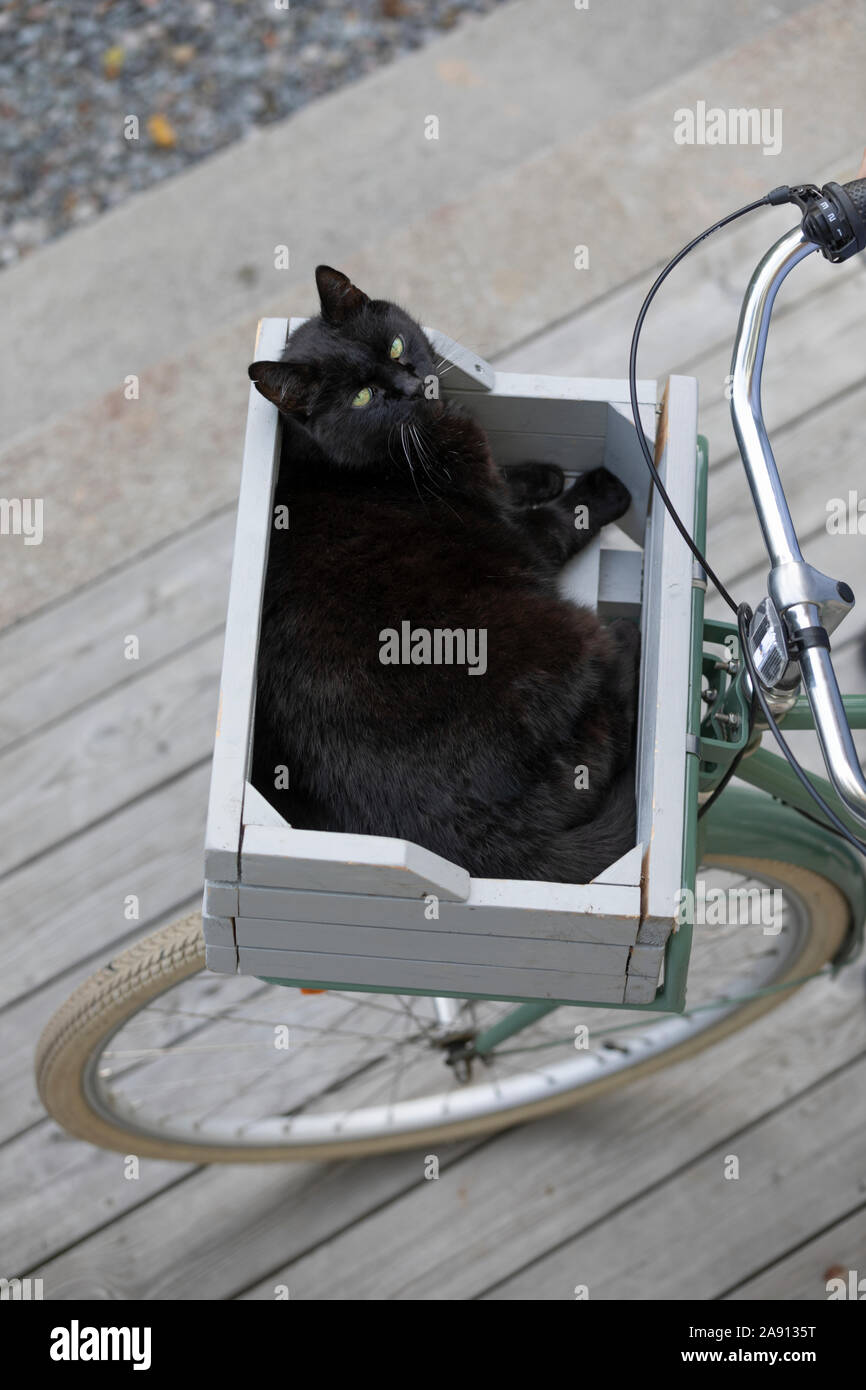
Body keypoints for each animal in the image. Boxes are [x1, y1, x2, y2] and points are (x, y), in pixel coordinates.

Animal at [247, 265, 639, 884]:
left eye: (395, 346)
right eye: (363, 397)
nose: (410, 385)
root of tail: (473, 849)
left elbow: (504, 479)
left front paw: (539, 474)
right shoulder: (526, 540)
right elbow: (558, 521)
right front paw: (595, 490)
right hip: (568, 634)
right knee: (606, 740)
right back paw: (627, 640)